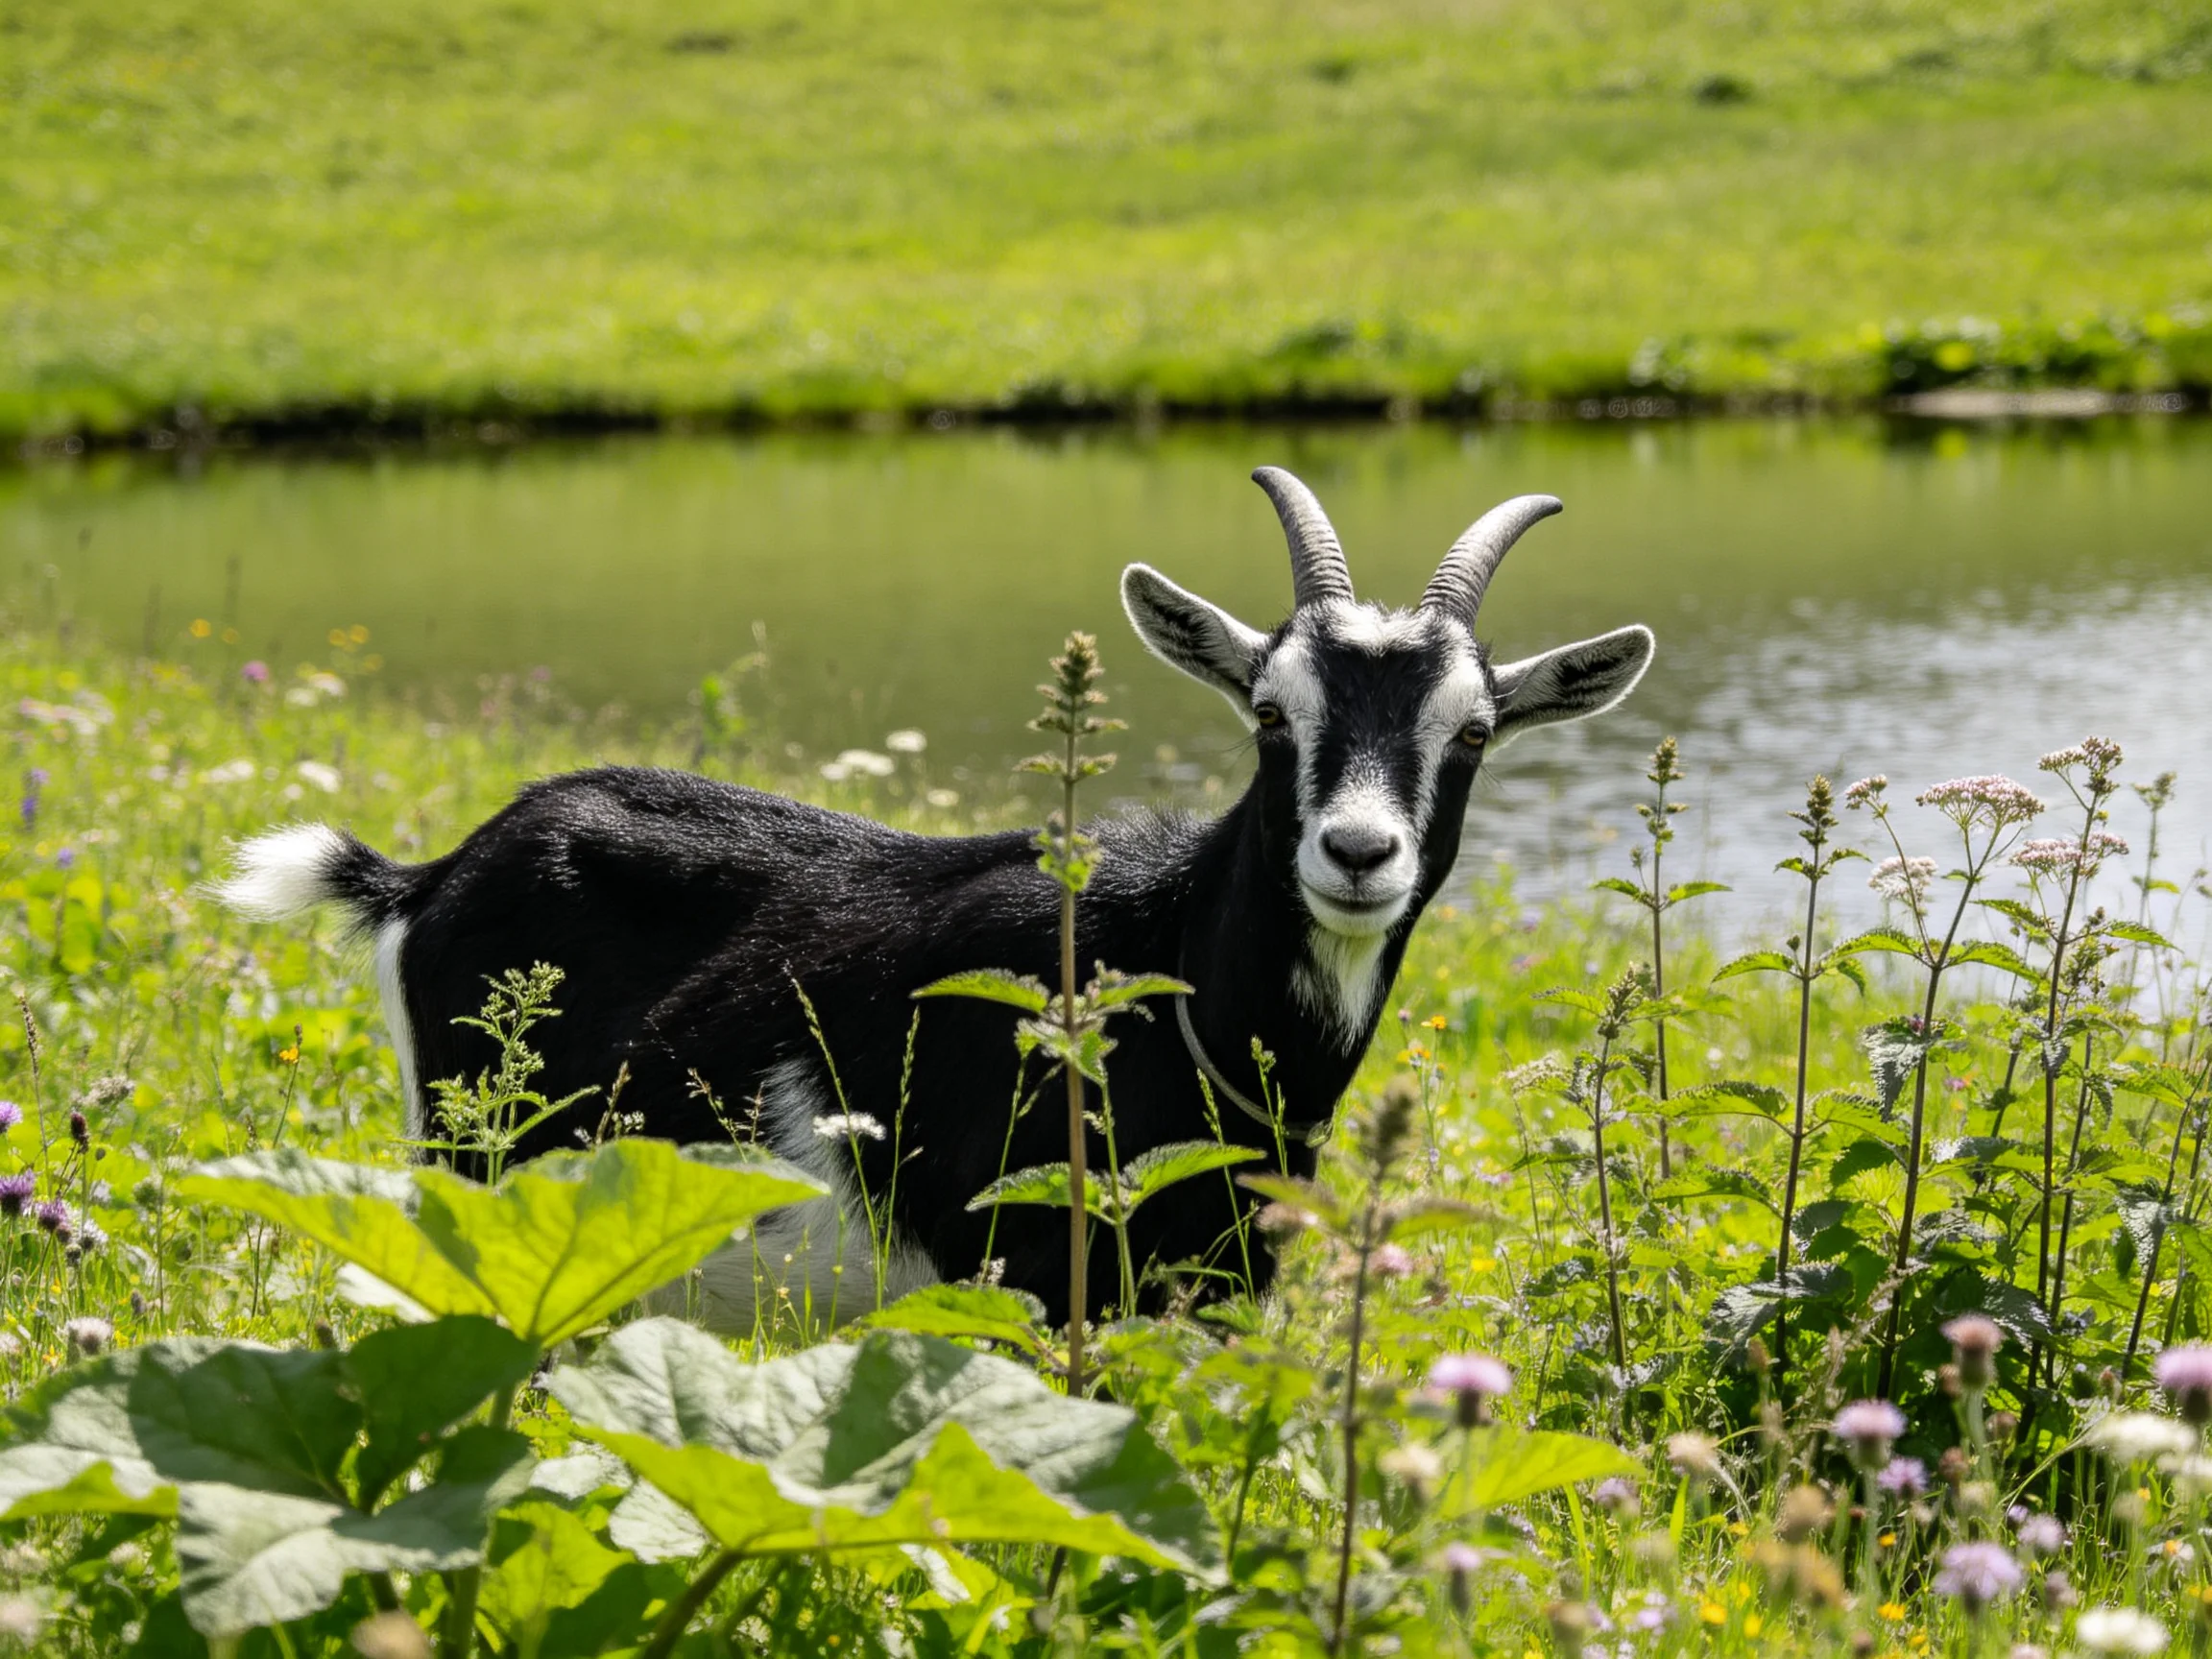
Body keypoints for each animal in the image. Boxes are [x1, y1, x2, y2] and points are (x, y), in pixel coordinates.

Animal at [217, 467, 1654, 1328]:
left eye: (1472, 734)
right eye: (1267, 713)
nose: (1358, 852)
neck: (1160, 971)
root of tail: (434, 874)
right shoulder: (1016, 1269)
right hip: (471, 1176)